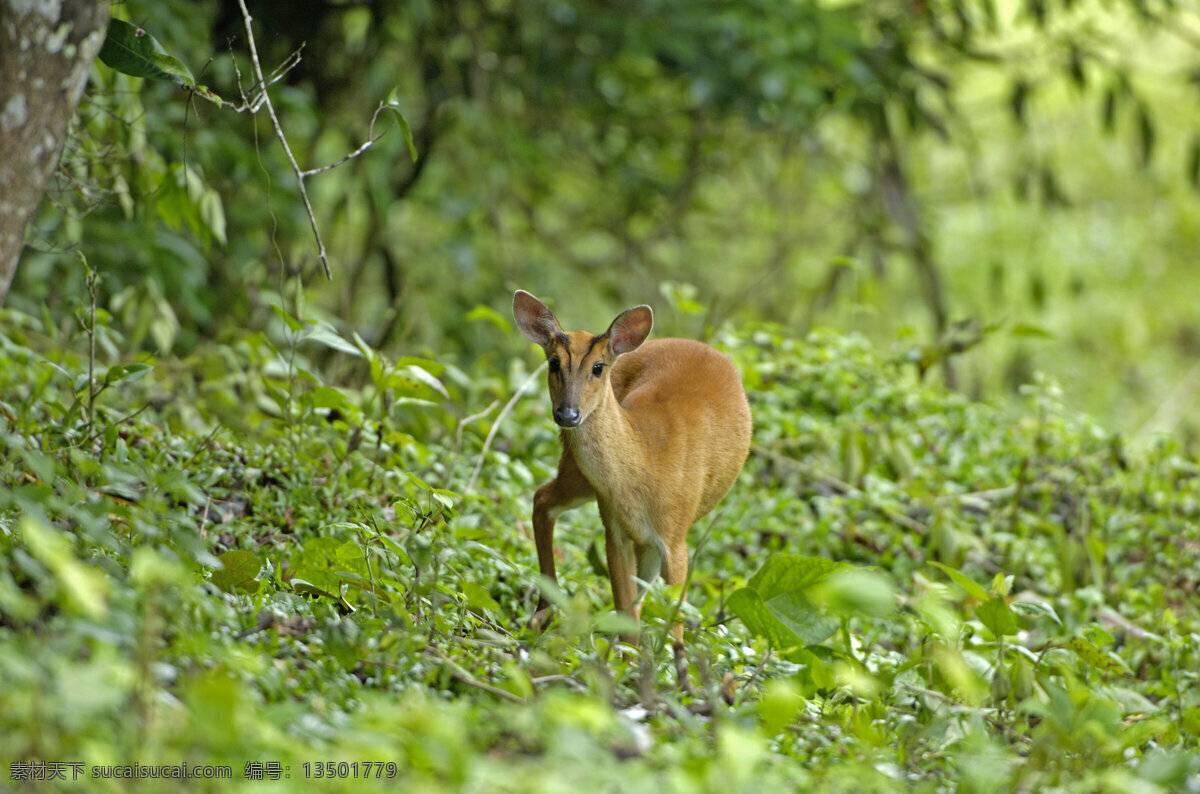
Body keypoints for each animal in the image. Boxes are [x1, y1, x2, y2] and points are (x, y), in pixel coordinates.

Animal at [512, 290, 752, 687]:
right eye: (552, 362)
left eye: (598, 367)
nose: (567, 414)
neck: (646, 467)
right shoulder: (614, 528)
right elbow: (628, 612)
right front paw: (630, 674)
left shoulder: (675, 536)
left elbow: (670, 619)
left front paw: (675, 683)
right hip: (578, 476)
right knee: (542, 497)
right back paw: (543, 614)